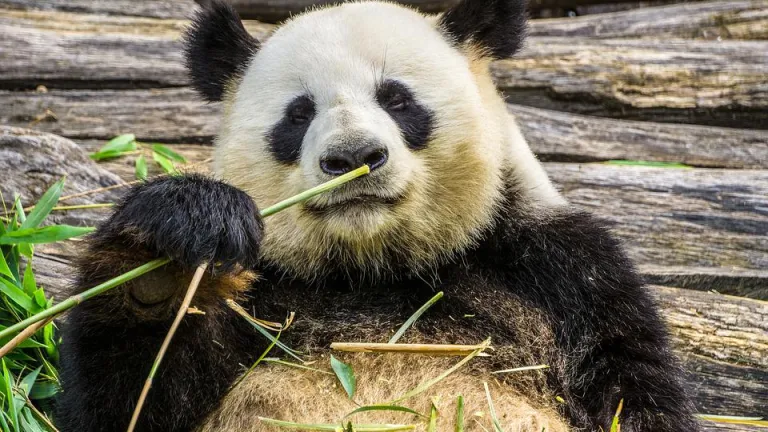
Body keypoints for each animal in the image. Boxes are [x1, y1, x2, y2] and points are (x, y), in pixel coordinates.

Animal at [55, 0, 700, 431]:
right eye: (298, 113)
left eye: (397, 99)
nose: (353, 158)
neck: (373, 268)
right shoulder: (266, 297)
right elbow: (132, 402)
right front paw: (168, 256)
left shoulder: (564, 277)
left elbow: (631, 393)